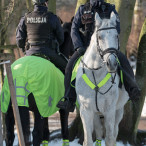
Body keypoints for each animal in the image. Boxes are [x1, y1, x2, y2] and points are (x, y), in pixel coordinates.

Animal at [75, 12, 129, 146]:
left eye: (116, 35)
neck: (97, 75)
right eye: (99, 37)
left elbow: (109, 138)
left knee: (114, 133)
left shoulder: (110, 111)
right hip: (96, 114)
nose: (112, 63)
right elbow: (88, 140)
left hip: (118, 111)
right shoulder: (86, 111)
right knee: (99, 131)